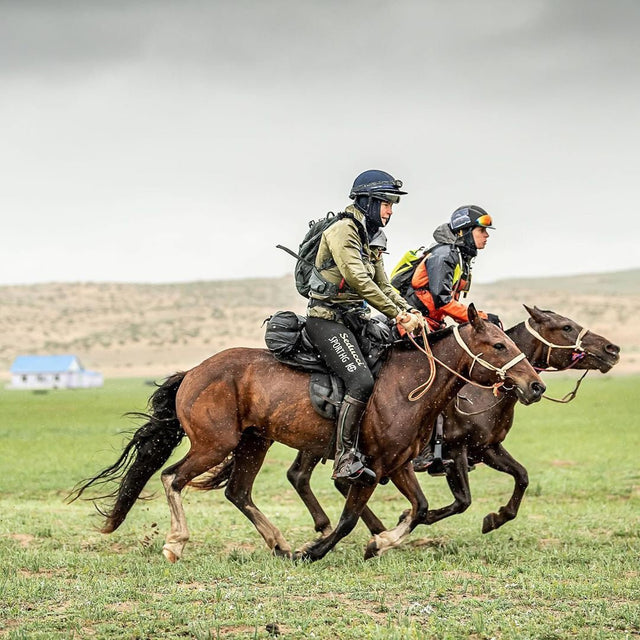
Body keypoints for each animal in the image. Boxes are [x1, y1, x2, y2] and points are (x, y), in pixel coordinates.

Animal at [74, 308, 544, 564]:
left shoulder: (397, 464)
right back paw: (176, 544)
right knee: (173, 478)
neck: (409, 384)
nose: (536, 385)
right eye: (499, 346)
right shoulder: (370, 468)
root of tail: (193, 372)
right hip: (215, 444)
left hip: (255, 443)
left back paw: (280, 544)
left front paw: (380, 542)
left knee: (238, 492)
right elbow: (351, 517)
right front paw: (319, 551)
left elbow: (420, 508)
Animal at [219, 304, 616, 556]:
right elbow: (460, 501)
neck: (475, 390)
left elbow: (521, 477)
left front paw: (496, 518)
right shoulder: (455, 450)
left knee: (304, 477)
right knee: (309, 477)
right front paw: (400, 524)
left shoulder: (485, 448)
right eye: (566, 327)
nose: (613, 349)